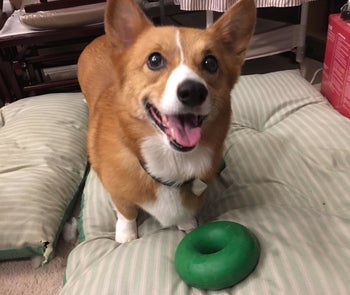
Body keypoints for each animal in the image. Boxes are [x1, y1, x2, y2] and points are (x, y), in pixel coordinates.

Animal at [78, 0, 256, 243]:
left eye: (210, 63)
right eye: (154, 60)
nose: (193, 92)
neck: (173, 160)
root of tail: (98, 38)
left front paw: (186, 223)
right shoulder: (119, 194)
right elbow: (126, 211)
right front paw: (126, 235)